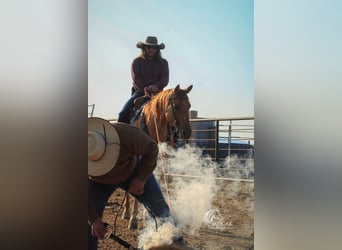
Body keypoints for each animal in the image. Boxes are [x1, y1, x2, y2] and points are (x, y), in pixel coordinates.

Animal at [123, 84, 194, 229]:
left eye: (189, 106)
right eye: (176, 106)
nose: (187, 132)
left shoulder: (162, 159)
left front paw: (148, 215)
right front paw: (133, 217)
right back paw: (126, 212)